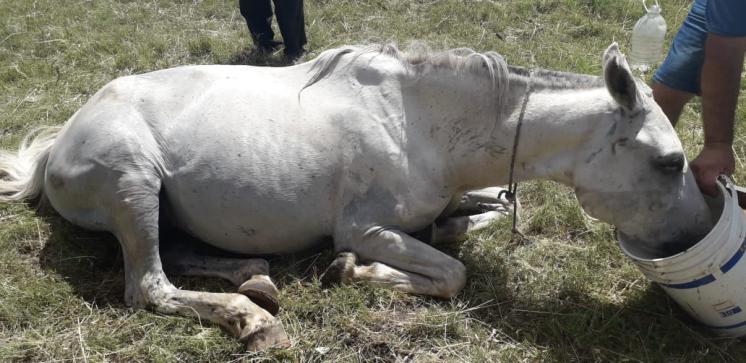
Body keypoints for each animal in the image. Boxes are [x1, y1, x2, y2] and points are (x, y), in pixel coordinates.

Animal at [0, 42, 708, 350]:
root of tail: (59, 141)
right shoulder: (365, 229)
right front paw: (350, 271)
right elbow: (450, 274)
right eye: (670, 161)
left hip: (160, 206)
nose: (692, 239)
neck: (421, 124)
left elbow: (468, 225)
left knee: (178, 254)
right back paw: (250, 318)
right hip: (134, 184)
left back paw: (255, 279)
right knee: (147, 285)